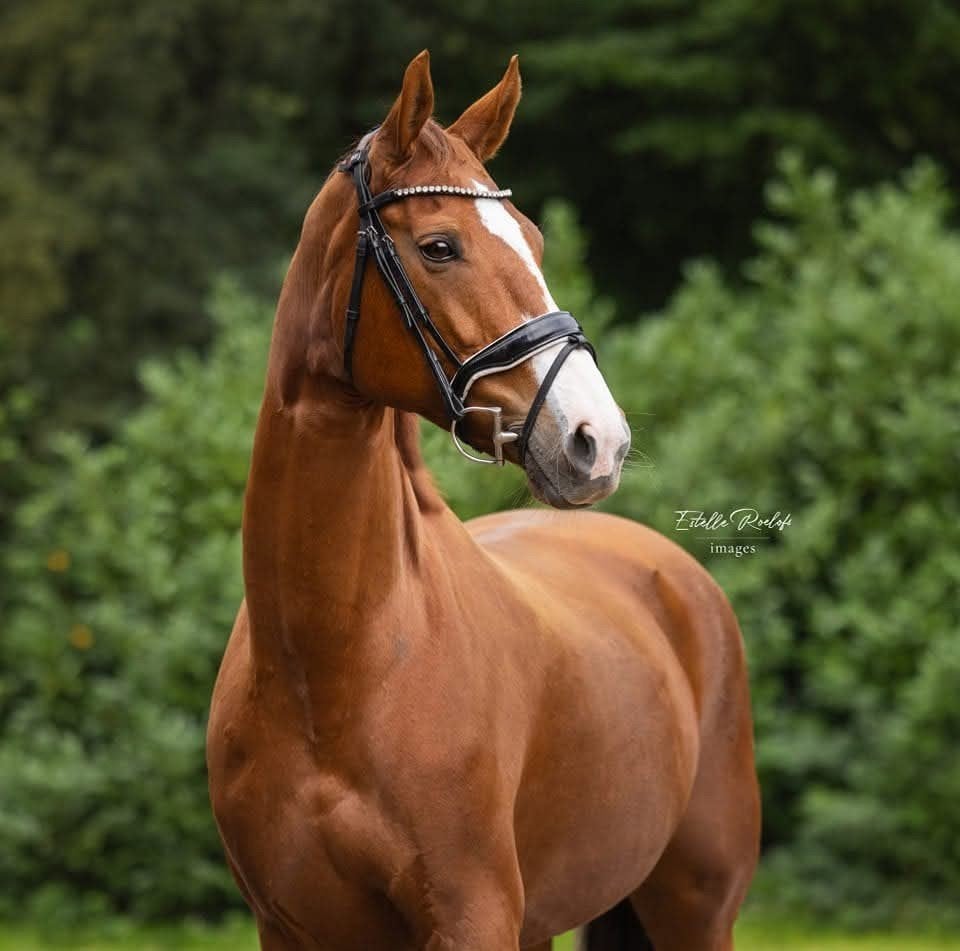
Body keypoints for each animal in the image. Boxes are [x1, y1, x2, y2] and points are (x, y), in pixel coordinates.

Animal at [207, 50, 760, 950]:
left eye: (533, 239)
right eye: (440, 246)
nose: (597, 439)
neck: (332, 670)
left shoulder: (473, 914)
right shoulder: (285, 926)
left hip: (697, 906)